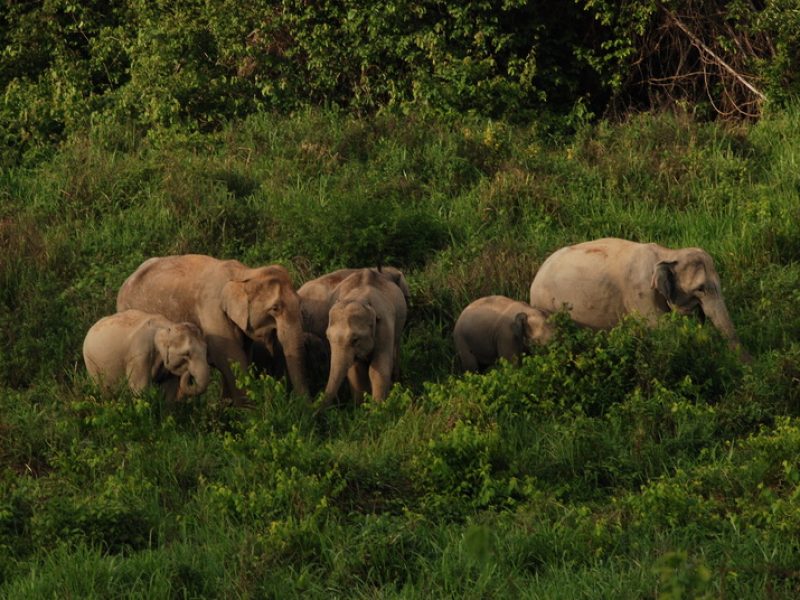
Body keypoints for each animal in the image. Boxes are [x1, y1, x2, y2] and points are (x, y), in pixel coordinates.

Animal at [115, 253, 310, 398]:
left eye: (300, 303)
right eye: (275, 308)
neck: (244, 274)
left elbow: (241, 356)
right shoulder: (212, 312)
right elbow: (232, 359)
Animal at [318, 268, 406, 406]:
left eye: (355, 340)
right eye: (328, 338)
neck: (359, 297)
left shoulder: (385, 324)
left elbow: (379, 368)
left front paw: (378, 408)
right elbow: (355, 371)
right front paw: (359, 407)